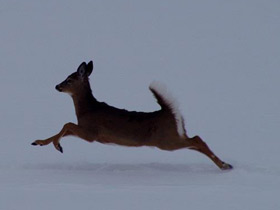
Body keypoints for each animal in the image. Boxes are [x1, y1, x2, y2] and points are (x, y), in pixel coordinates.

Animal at [31, 61, 232, 170]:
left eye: (69, 79)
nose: (57, 86)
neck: (87, 110)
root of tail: (168, 112)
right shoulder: (86, 131)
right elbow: (64, 129)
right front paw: (40, 142)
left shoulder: (91, 133)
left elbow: (66, 124)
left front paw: (57, 146)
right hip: (173, 137)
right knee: (196, 141)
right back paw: (225, 164)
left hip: (166, 141)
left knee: (197, 139)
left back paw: (224, 166)